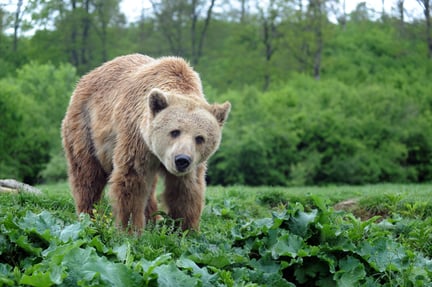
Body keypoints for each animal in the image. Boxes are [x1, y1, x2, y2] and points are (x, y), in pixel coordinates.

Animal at [61, 54, 231, 233]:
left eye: (199, 138)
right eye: (174, 131)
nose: (182, 160)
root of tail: (85, 78)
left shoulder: (192, 165)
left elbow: (185, 190)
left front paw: (185, 229)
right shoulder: (136, 137)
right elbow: (131, 181)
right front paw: (130, 229)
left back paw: (153, 220)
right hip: (85, 128)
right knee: (87, 176)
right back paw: (89, 219)